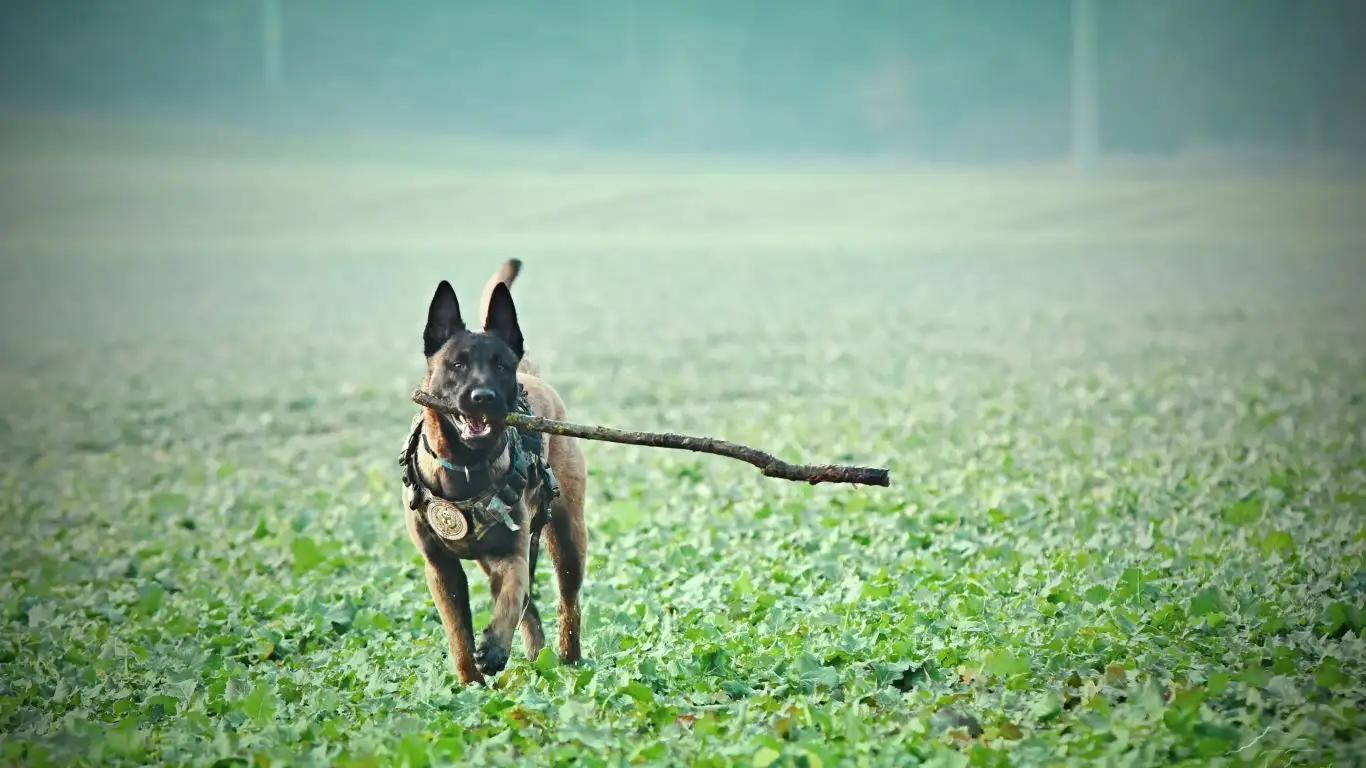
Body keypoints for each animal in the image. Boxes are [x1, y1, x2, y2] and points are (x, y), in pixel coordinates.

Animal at [398, 256, 584, 680]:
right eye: (457, 364)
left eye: (500, 366)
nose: (483, 397)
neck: (464, 467)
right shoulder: (441, 569)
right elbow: (458, 636)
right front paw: (470, 683)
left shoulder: (511, 554)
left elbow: (511, 598)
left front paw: (496, 647)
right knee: (531, 609)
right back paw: (536, 654)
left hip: (567, 539)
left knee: (566, 602)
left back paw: (569, 662)